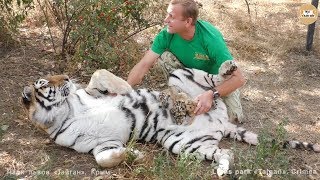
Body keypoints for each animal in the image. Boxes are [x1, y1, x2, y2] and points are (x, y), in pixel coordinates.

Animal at [21, 61, 318, 176]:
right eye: (46, 82)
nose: (66, 77)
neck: (66, 110)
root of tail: (223, 124)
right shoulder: (101, 143)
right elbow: (104, 159)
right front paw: (135, 155)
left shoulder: (92, 92)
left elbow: (101, 76)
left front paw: (127, 90)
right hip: (182, 142)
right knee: (226, 153)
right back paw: (222, 168)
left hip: (181, 75)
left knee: (214, 83)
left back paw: (219, 74)